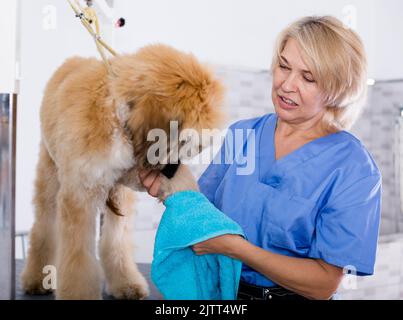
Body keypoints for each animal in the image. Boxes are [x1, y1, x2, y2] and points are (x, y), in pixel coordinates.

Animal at [21, 44, 224, 300]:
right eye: (184, 141)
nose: (172, 171)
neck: (117, 117)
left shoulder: (122, 187)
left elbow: (116, 243)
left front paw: (125, 282)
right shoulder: (79, 194)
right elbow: (78, 257)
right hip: (50, 174)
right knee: (44, 227)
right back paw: (36, 277)